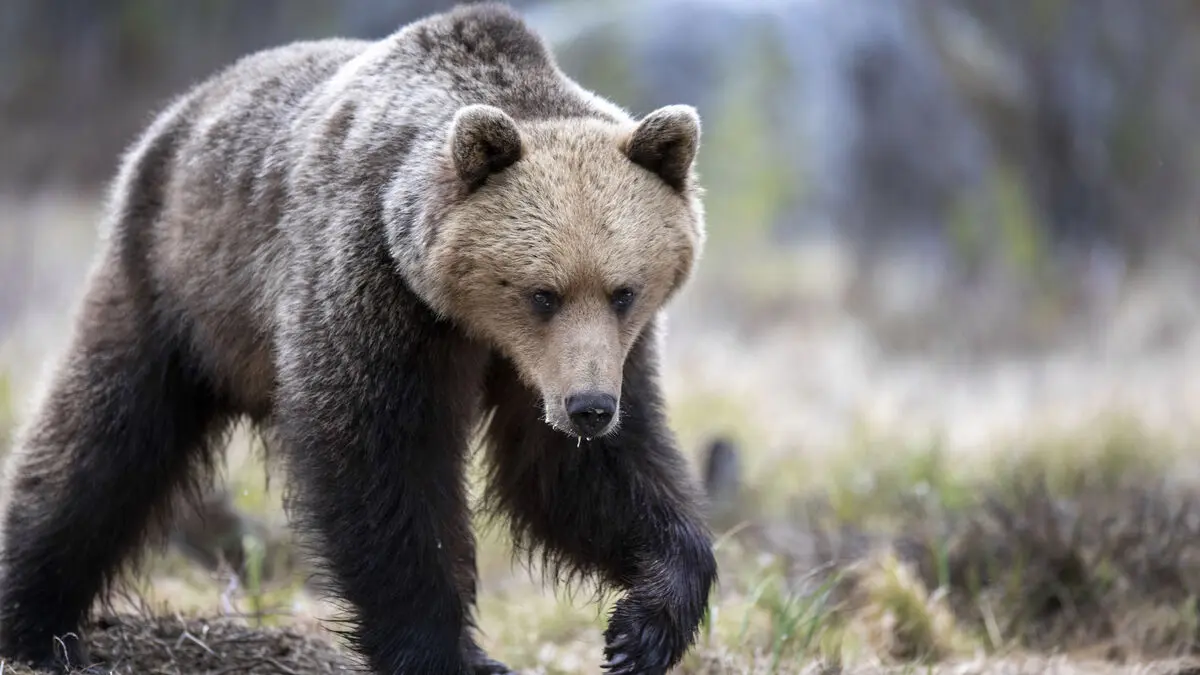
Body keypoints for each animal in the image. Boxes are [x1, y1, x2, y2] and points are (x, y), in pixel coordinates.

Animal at [0, 3, 717, 674]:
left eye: (625, 291)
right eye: (543, 292)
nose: (588, 407)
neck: (469, 318)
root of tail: (182, 107)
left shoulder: (583, 360)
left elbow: (579, 474)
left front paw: (642, 626)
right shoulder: (375, 288)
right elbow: (380, 466)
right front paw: (441, 650)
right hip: (174, 279)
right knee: (104, 435)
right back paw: (35, 622)